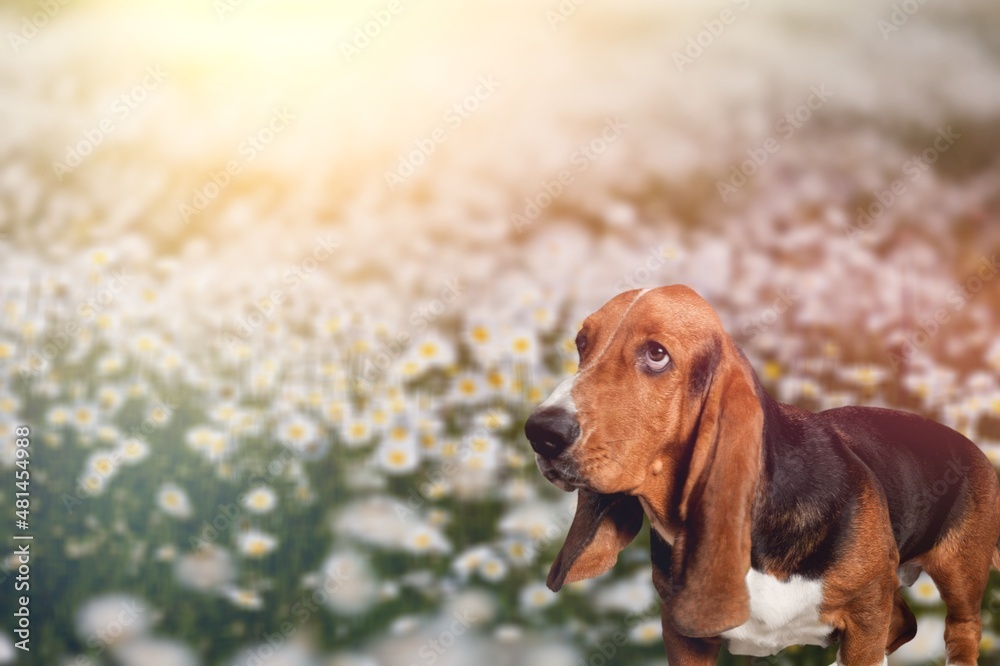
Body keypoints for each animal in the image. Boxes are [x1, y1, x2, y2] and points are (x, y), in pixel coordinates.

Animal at [524, 286, 1000, 664]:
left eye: (656, 354)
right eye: (582, 344)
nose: (540, 432)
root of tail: (969, 442)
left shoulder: (867, 612)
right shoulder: (683, 634)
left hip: (958, 575)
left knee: (961, 631)